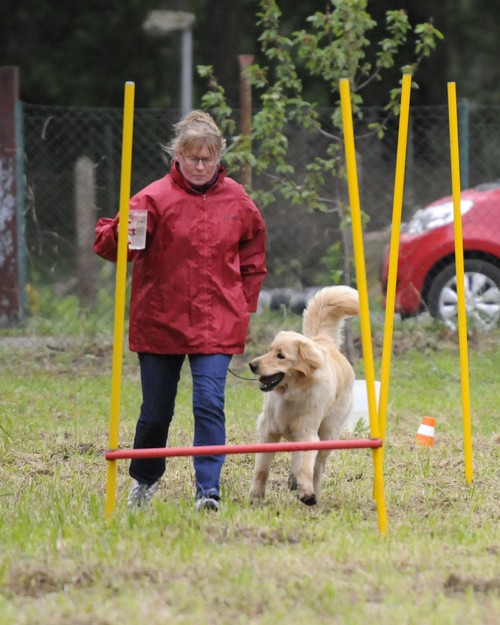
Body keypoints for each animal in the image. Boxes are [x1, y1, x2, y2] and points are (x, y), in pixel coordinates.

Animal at [250, 286, 360, 504]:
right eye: (269, 350)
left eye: (281, 356)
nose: (252, 365)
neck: (290, 394)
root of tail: (323, 341)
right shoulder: (268, 430)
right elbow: (262, 469)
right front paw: (256, 497)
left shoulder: (308, 432)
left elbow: (306, 466)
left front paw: (307, 492)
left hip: (328, 432)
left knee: (318, 466)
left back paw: (310, 488)